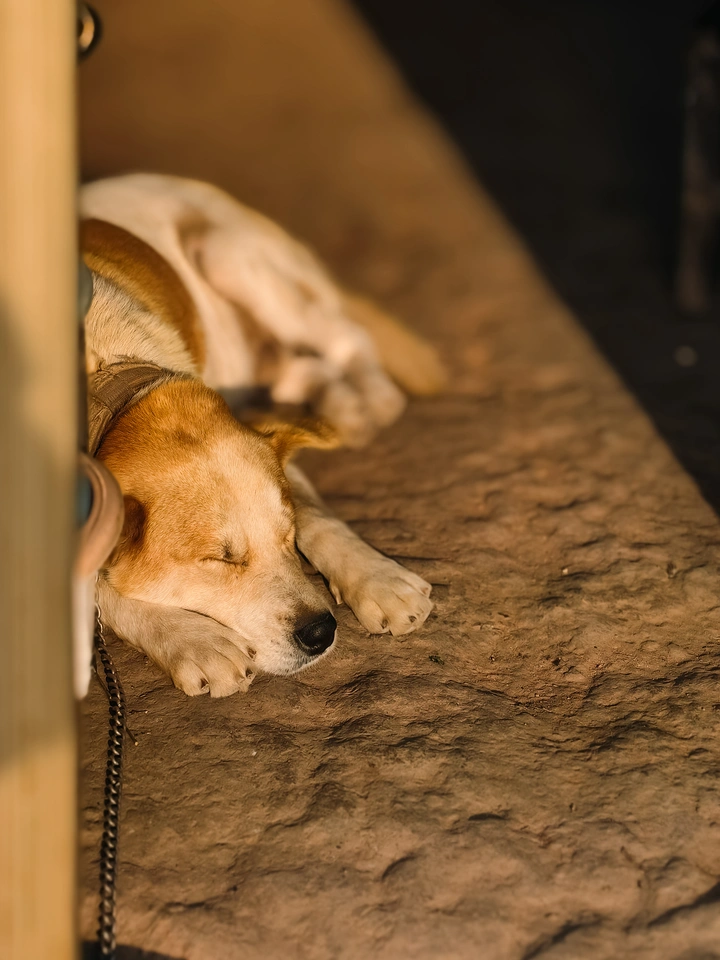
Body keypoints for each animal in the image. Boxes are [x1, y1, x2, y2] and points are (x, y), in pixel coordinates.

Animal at [80, 174, 445, 697]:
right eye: (220, 561)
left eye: (286, 534)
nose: (322, 632)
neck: (105, 371)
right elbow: (101, 590)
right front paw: (191, 640)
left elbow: (320, 518)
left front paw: (378, 579)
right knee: (306, 368)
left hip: (226, 254)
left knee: (349, 342)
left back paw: (363, 406)